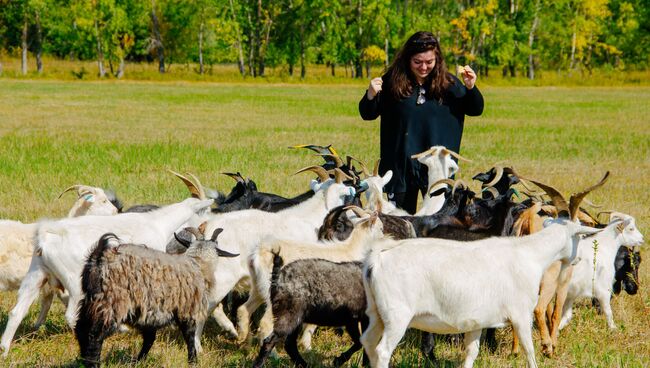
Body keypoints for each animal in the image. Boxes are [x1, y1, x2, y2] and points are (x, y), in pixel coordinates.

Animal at [0, 198, 213, 356]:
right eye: (201, 214)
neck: (157, 224)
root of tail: (47, 235)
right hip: (74, 281)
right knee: (71, 315)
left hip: (36, 275)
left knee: (17, 312)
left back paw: (4, 350)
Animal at [360, 173, 608, 368]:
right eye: (579, 235)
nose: (578, 259)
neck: (529, 252)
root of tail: (378, 259)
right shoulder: (520, 314)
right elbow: (529, 352)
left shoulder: (476, 321)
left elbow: (471, 354)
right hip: (397, 317)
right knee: (382, 351)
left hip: (376, 315)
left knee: (368, 343)